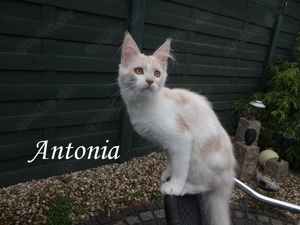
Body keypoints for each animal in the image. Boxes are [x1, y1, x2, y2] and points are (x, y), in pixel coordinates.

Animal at [118, 32, 236, 225]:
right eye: (138, 71)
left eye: (157, 74)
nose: (150, 81)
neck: (145, 106)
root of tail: (229, 176)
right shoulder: (167, 145)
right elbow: (173, 162)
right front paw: (168, 173)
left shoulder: (182, 139)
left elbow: (181, 168)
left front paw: (174, 186)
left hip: (202, 164)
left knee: (206, 186)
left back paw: (186, 187)